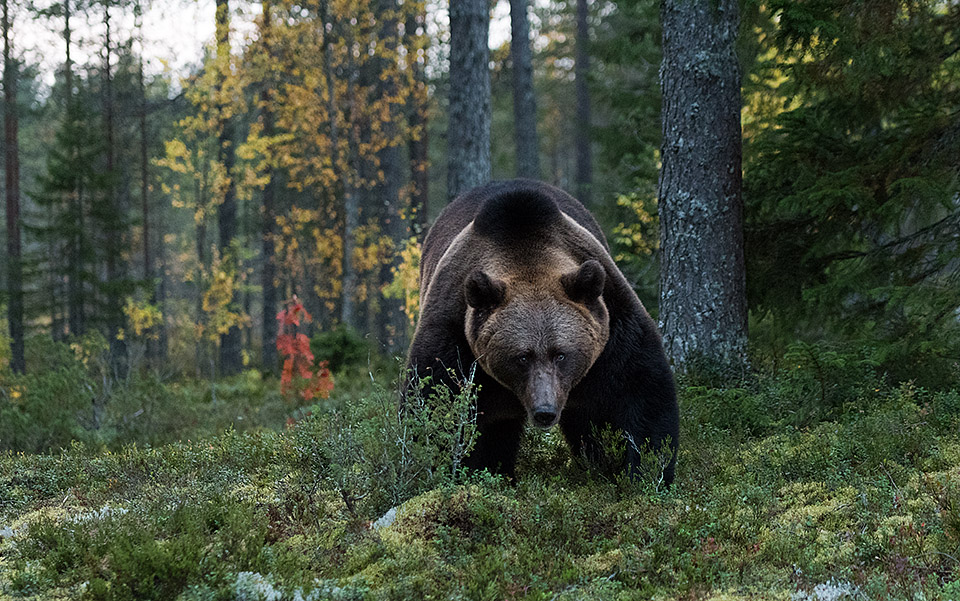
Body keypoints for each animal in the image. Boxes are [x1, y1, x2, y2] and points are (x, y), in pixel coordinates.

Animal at [408, 178, 680, 482]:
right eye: (522, 356)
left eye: (560, 354)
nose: (545, 412)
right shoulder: (453, 330)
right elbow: (433, 400)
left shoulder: (612, 329)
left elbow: (641, 394)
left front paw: (644, 471)